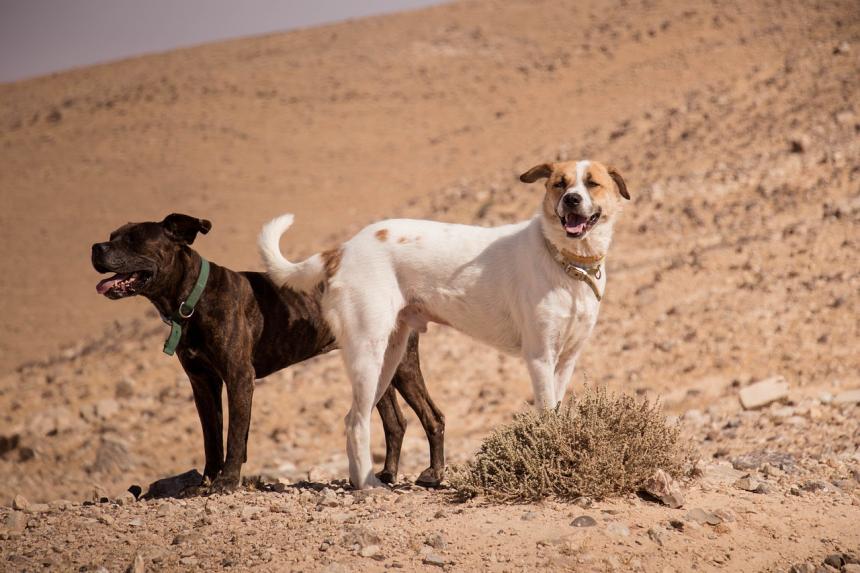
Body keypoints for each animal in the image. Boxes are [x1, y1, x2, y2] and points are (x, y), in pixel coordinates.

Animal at [91, 212, 446, 490]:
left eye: (134, 239)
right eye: (111, 236)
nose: (96, 248)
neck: (194, 297)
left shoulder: (238, 377)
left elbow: (235, 435)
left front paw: (226, 482)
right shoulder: (202, 383)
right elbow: (211, 437)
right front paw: (204, 482)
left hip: (401, 365)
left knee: (433, 416)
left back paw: (433, 474)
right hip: (374, 367)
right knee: (395, 422)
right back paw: (385, 475)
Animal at [258, 161, 628, 488]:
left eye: (592, 183)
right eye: (559, 184)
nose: (572, 200)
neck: (567, 263)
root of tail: (343, 249)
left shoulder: (565, 360)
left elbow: (557, 410)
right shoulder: (539, 357)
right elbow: (547, 413)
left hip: (390, 357)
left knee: (354, 417)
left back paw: (363, 481)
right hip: (368, 352)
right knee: (358, 421)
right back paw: (369, 485)